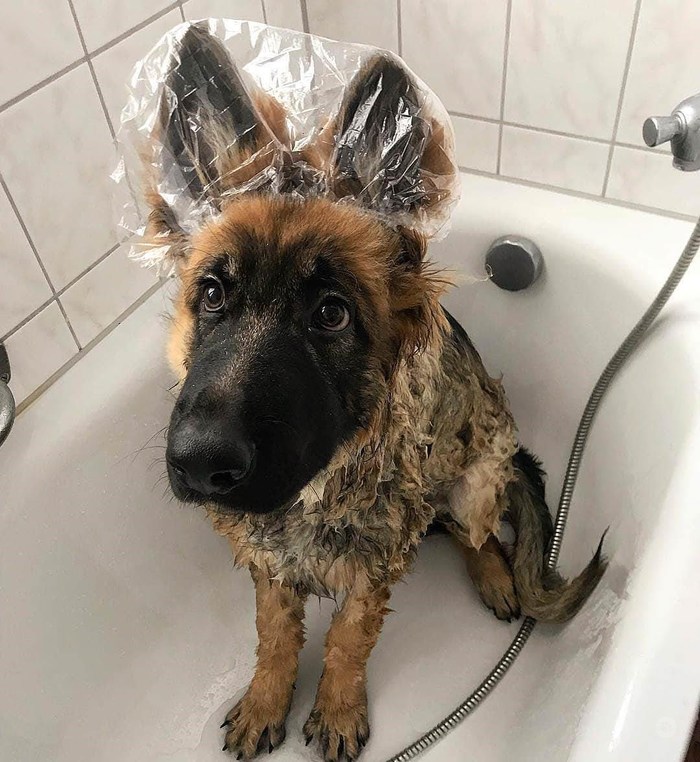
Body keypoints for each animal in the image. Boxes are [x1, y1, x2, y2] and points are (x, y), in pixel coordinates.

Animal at [138, 25, 608, 760]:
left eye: (331, 313)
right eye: (211, 295)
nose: (199, 463)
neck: (317, 489)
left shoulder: (373, 568)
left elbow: (346, 640)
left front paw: (335, 706)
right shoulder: (268, 562)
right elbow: (274, 635)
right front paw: (266, 699)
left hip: (474, 478)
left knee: (478, 535)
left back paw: (497, 576)